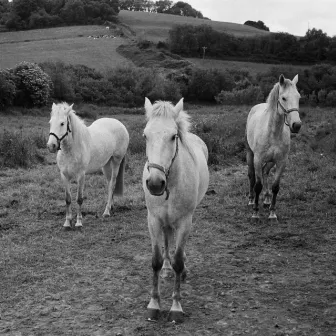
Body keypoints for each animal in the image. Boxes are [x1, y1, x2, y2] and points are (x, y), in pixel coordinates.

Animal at [142, 97, 210, 322]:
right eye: (145, 135)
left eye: (174, 136)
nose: (155, 183)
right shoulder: (154, 220)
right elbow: (155, 260)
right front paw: (154, 304)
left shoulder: (184, 221)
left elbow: (179, 260)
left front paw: (176, 307)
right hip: (163, 221)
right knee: (166, 239)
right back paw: (166, 268)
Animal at [247, 74, 302, 220]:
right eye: (283, 98)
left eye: (298, 97)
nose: (297, 125)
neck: (273, 132)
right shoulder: (258, 159)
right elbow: (258, 185)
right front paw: (255, 212)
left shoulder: (281, 161)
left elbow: (276, 187)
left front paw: (272, 212)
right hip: (250, 154)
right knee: (251, 175)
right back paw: (251, 200)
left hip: (271, 161)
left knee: (265, 171)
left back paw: (266, 200)